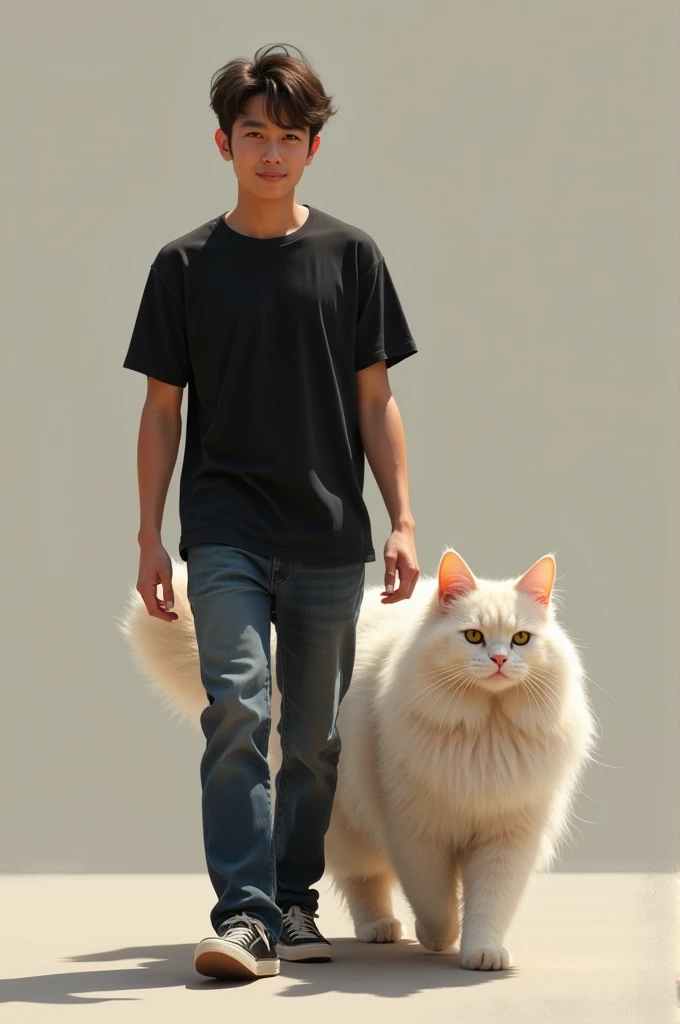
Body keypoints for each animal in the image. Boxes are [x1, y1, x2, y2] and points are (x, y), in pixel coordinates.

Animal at [120, 552, 593, 966]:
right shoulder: (415, 832)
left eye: (521, 639)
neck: (486, 735)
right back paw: (379, 928)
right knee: (362, 878)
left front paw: (482, 954)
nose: (498, 659)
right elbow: (434, 899)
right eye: (473, 636)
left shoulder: (508, 835)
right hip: (344, 818)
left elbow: (491, 903)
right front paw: (439, 938)